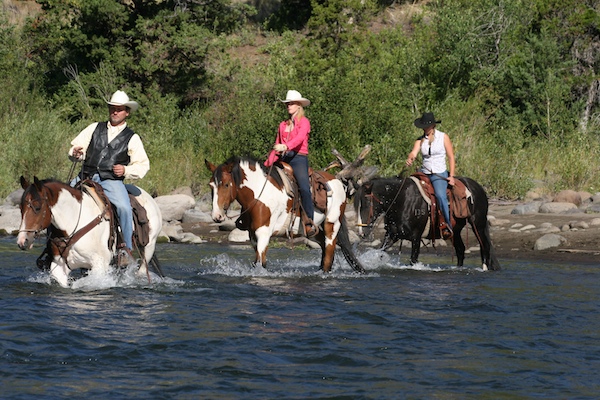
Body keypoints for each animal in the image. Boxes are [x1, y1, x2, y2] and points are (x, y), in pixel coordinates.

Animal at [17, 177, 163, 286]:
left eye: (37, 207)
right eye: (21, 208)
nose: (22, 241)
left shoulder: (100, 266)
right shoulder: (59, 266)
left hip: (148, 248)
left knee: (141, 271)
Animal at [206, 155, 366, 272]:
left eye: (226, 184)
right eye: (211, 185)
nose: (217, 216)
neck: (260, 193)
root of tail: (338, 182)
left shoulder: (263, 233)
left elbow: (261, 263)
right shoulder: (252, 235)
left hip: (331, 224)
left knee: (329, 253)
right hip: (314, 231)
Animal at [354, 177, 500, 270]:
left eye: (367, 203)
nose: (362, 232)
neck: (401, 200)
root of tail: (477, 187)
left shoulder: (415, 237)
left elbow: (413, 260)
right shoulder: (392, 235)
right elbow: (380, 253)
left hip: (478, 225)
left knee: (485, 247)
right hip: (455, 231)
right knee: (460, 250)